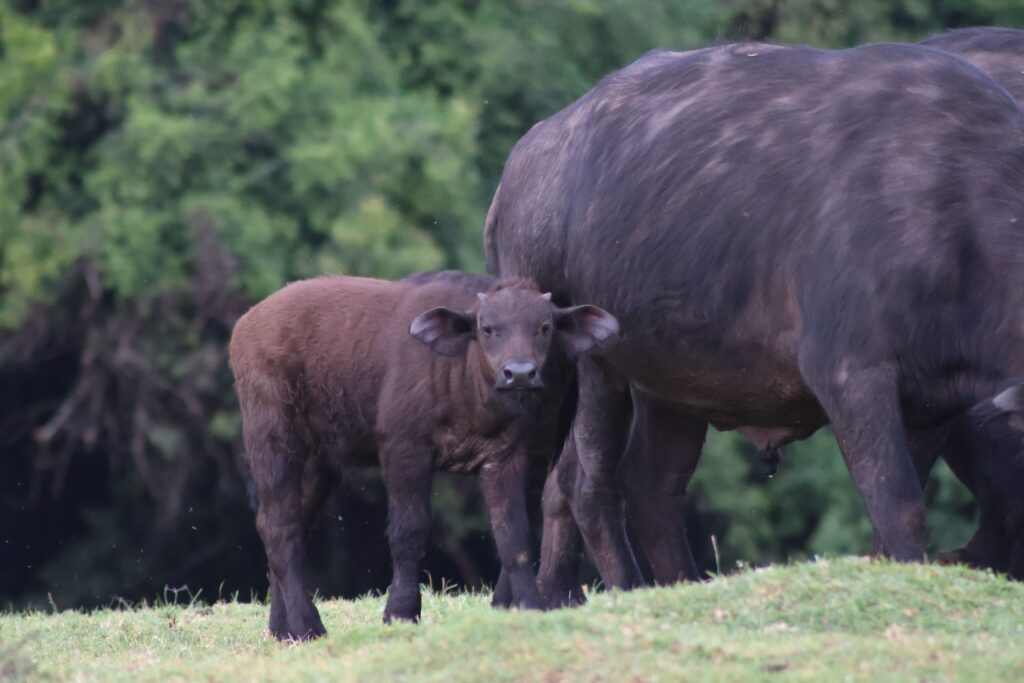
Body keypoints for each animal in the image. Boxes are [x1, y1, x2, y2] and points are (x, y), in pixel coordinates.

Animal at [229, 271, 618, 639]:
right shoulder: (405, 448)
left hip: (319, 460)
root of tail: (246, 325)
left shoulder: (506, 457)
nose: (519, 373)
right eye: (487, 328)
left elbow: (514, 535)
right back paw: (308, 626)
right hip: (273, 437)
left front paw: (528, 606)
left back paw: (283, 628)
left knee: (287, 525)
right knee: (279, 526)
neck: (464, 382)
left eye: (544, 326)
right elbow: (409, 530)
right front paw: (401, 612)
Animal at [485, 40, 1024, 603]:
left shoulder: (928, 407)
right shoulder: (852, 374)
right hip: (592, 367)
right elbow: (900, 507)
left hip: (672, 378)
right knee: (583, 484)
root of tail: (524, 161)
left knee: (651, 483)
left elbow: (894, 512)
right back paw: (616, 588)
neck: (956, 211)